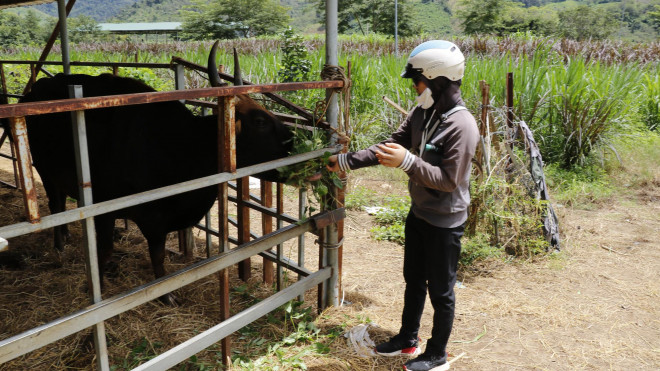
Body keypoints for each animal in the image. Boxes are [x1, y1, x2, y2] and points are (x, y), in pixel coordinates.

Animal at [19, 42, 292, 306]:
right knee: (55, 205)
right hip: (44, 169)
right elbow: (111, 251)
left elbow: (156, 255)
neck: (177, 145)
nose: (291, 140)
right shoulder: (110, 210)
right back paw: (59, 245)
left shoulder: (159, 218)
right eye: (259, 121)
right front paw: (104, 290)